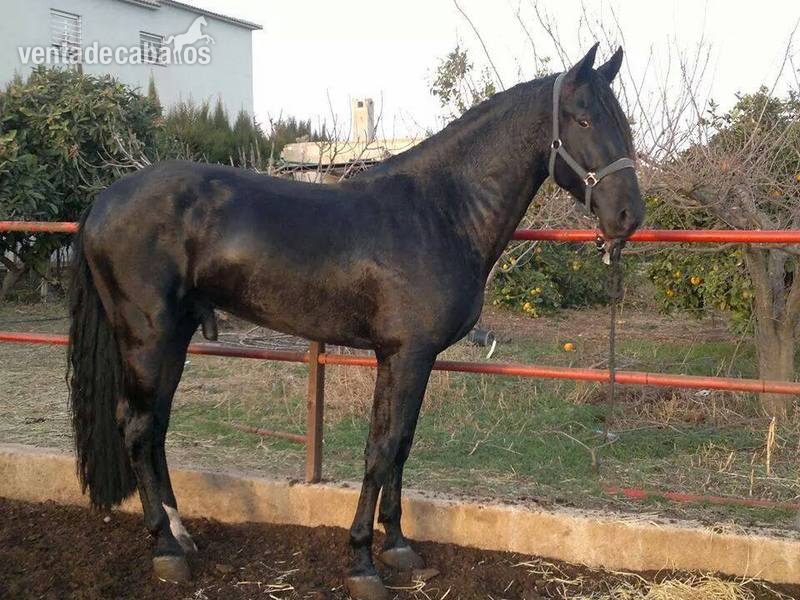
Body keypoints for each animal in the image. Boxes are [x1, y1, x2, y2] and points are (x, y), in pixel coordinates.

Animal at [67, 44, 643, 600]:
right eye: (583, 119)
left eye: (622, 120)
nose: (628, 216)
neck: (441, 210)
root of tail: (103, 201)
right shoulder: (405, 354)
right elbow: (381, 449)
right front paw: (364, 564)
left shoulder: (409, 359)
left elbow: (401, 445)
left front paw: (400, 547)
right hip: (148, 337)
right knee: (137, 425)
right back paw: (167, 551)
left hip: (175, 337)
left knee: (157, 425)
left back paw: (182, 534)